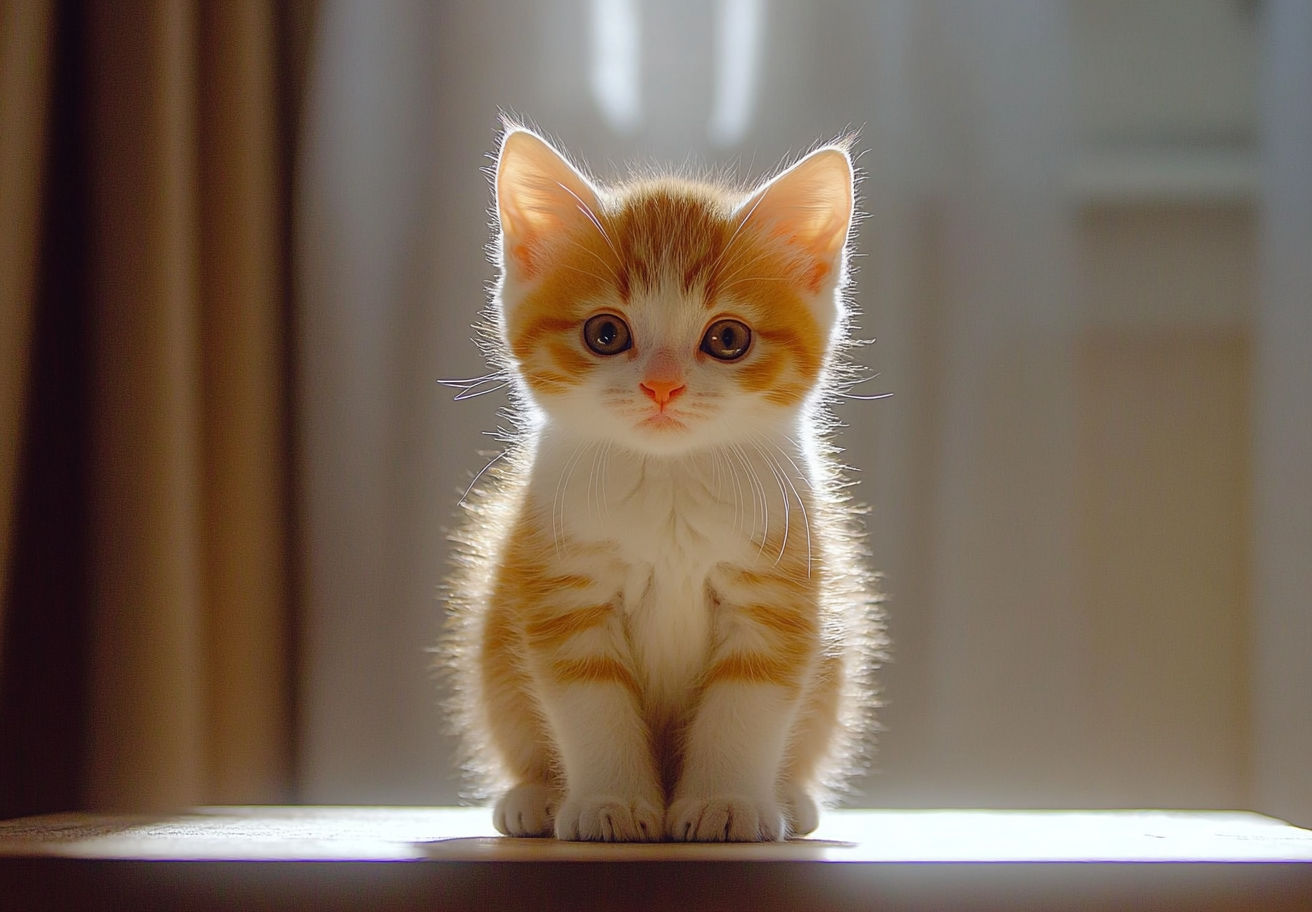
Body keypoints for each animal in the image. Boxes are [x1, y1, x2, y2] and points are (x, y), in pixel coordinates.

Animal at [443, 124, 881, 845]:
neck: (670, 482)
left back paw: (788, 798)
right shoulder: (565, 584)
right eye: (605, 333)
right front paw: (611, 803)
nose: (662, 386)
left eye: (728, 338)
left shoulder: (776, 585)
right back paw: (535, 795)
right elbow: (589, 701)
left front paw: (725, 801)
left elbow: (748, 702)